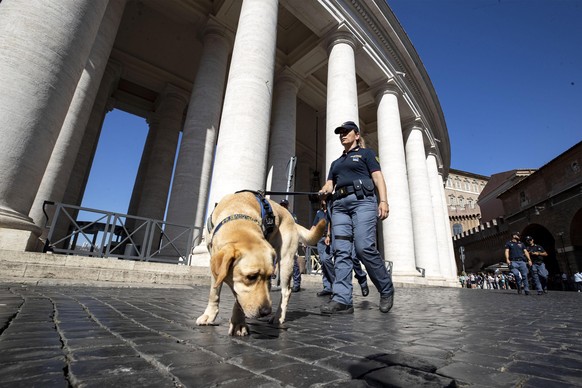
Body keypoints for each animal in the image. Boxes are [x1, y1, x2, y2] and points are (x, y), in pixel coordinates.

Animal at [195, 189, 324, 334]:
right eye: (251, 277)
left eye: (269, 276)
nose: (266, 311)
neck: (238, 219)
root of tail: (292, 219)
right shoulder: (214, 263)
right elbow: (214, 292)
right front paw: (209, 315)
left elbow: (238, 300)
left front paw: (238, 323)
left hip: (286, 261)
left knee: (286, 291)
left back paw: (278, 317)